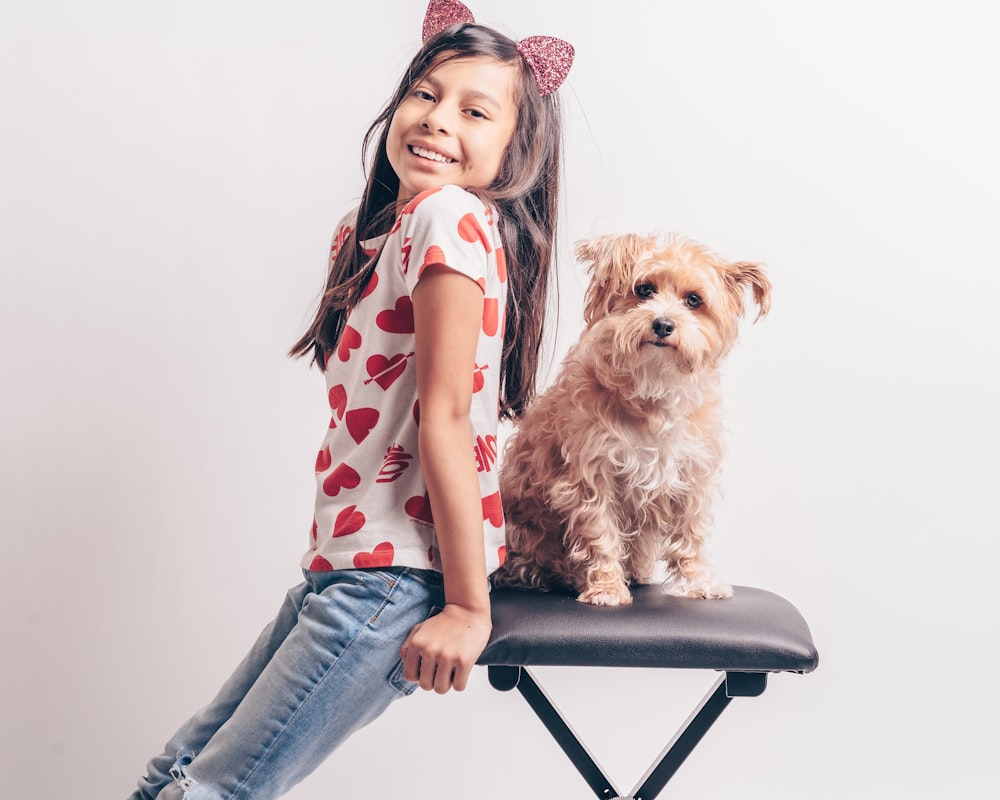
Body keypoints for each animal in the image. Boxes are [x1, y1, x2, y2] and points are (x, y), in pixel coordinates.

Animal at [494, 231, 772, 608]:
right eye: (644, 289)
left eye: (694, 300)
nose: (663, 324)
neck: (653, 388)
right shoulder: (591, 477)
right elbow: (600, 534)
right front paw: (607, 588)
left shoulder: (693, 474)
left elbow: (691, 533)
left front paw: (697, 581)